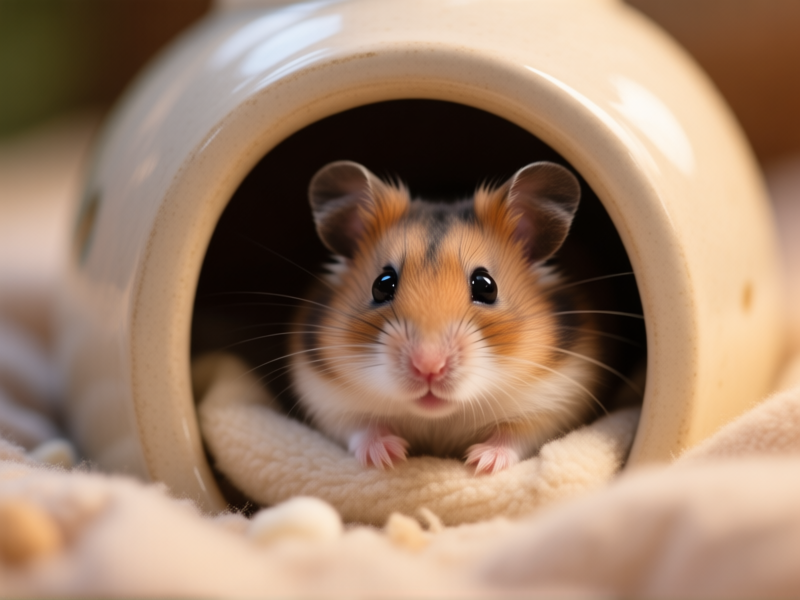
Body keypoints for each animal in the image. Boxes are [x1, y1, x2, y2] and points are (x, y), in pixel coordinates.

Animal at [288, 160, 604, 474]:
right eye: (382, 284)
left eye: (486, 286)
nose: (429, 367)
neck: (438, 417)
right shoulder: (327, 399)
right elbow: (360, 427)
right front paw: (389, 456)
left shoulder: (557, 400)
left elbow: (516, 434)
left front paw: (481, 462)